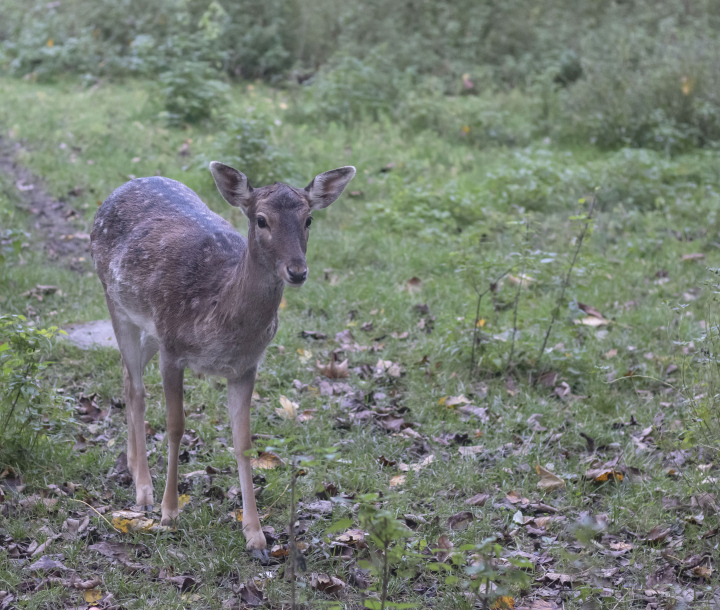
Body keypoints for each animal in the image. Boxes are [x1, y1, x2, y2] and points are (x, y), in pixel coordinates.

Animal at [90, 161, 355, 558]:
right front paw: (170, 514)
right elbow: (176, 426)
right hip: (115, 300)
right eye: (261, 220)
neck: (218, 309)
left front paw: (256, 535)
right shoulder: (173, 349)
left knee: (126, 376)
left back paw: (134, 468)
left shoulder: (246, 366)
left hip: (147, 329)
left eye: (308, 219)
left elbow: (244, 442)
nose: (297, 270)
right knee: (136, 389)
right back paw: (144, 490)